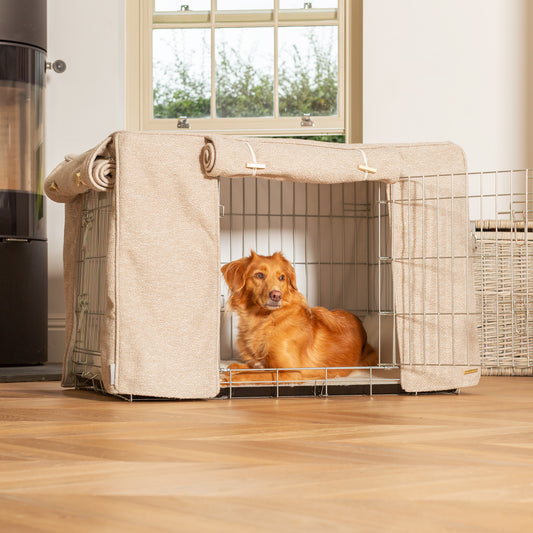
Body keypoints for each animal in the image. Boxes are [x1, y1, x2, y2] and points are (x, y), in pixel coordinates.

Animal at [218, 251, 376, 380]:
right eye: (259, 275)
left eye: (282, 277)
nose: (276, 295)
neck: (263, 320)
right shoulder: (259, 365)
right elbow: (236, 367)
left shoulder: (290, 372)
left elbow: (246, 376)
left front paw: (225, 381)